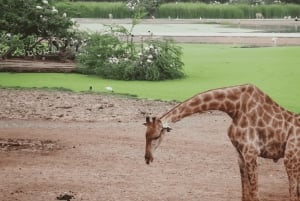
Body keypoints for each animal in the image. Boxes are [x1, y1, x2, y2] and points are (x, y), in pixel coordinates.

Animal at [142, 84, 300, 201]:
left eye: (156, 136)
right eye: (145, 136)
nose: (147, 158)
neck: (234, 108)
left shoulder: (251, 152)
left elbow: (254, 192)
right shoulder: (239, 153)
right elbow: (245, 192)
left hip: (290, 157)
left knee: (293, 193)